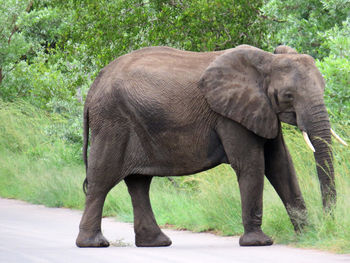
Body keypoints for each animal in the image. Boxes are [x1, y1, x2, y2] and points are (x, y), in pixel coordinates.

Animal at [75, 44, 346, 249]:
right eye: (289, 95)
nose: (328, 226)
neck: (266, 61)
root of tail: (94, 86)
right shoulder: (230, 115)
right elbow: (252, 164)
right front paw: (259, 242)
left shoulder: (263, 109)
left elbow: (281, 165)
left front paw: (306, 234)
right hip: (112, 122)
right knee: (102, 179)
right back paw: (94, 244)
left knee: (139, 183)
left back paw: (156, 242)